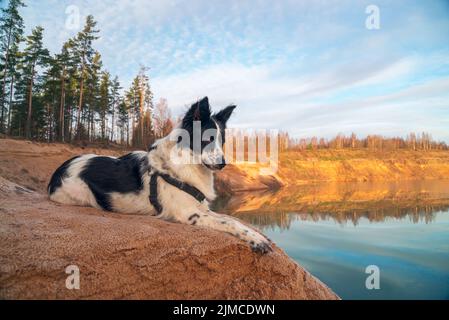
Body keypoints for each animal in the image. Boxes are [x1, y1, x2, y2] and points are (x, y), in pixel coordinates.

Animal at [49, 96, 272, 254]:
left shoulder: (203, 208)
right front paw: (257, 240)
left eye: (221, 140)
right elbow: (230, 222)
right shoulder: (190, 214)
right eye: (207, 139)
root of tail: (62, 167)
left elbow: (228, 217)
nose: (223, 163)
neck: (186, 163)